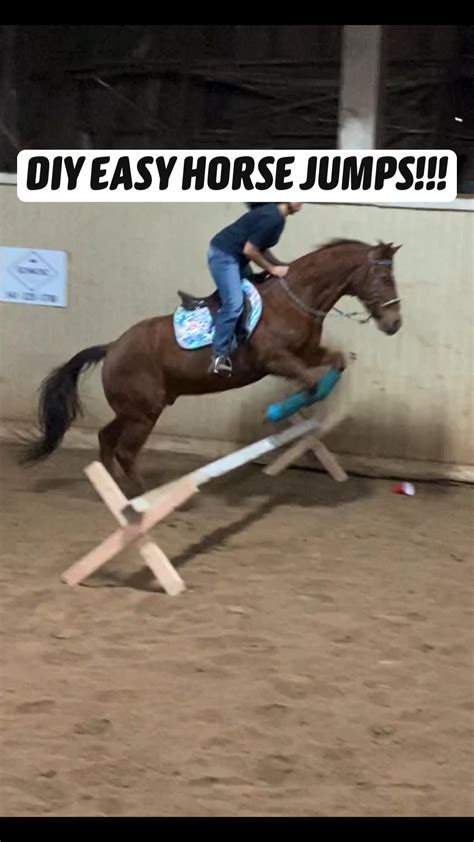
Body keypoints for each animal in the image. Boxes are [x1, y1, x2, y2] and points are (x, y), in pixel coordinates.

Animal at [21, 238, 402, 493]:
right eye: (384, 279)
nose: (394, 323)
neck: (297, 299)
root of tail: (112, 347)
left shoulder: (307, 352)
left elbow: (335, 363)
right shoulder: (276, 359)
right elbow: (309, 383)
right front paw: (281, 411)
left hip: (136, 410)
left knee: (107, 438)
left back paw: (116, 489)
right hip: (144, 413)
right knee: (127, 451)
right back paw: (142, 498)